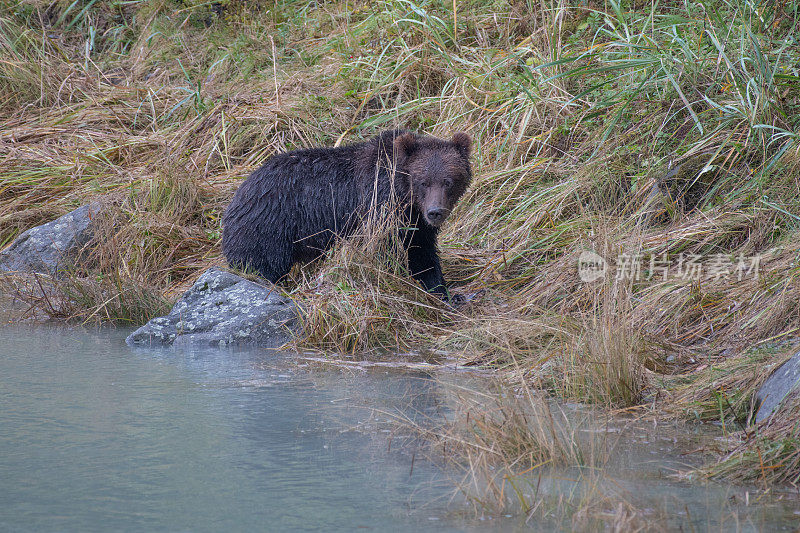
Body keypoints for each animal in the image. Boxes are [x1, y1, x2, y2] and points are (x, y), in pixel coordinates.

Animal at [222, 127, 472, 298]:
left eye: (448, 181)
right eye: (423, 182)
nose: (435, 212)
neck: (403, 196)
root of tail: (239, 193)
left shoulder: (415, 223)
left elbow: (422, 254)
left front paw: (443, 293)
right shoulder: (378, 206)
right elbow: (385, 250)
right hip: (268, 226)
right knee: (260, 263)